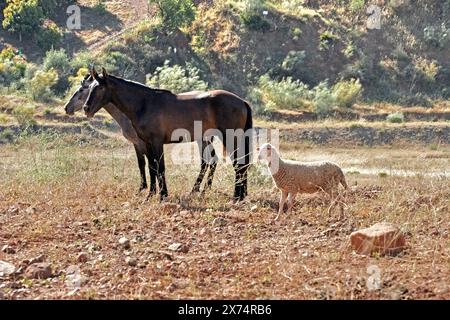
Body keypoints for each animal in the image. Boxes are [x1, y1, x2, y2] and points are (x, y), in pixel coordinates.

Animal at [83, 68, 253, 200]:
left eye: (100, 88)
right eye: (90, 87)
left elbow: (161, 167)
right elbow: (152, 167)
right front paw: (150, 195)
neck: (144, 104)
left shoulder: (156, 142)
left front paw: (162, 195)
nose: (86, 108)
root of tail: (242, 102)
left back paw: (237, 196)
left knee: (239, 164)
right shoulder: (147, 143)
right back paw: (238, 195)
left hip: (230, 137)